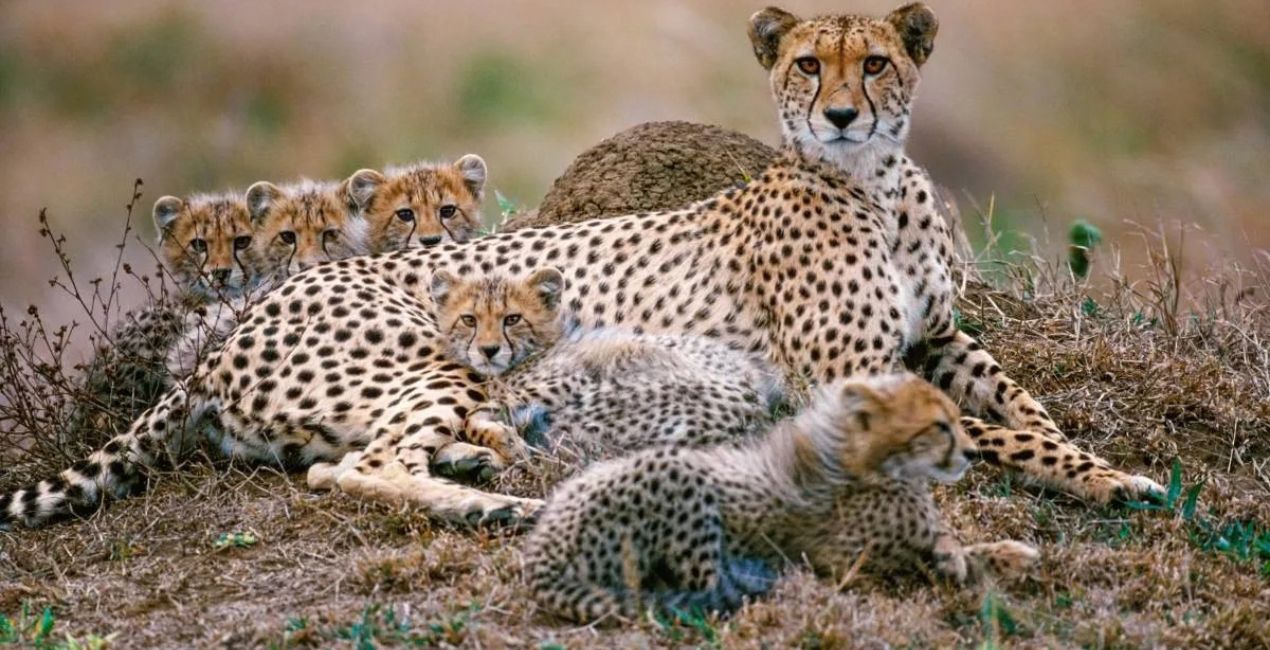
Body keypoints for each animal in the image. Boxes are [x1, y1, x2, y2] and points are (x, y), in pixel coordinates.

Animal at [524, 372, 1039, 623]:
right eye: (938, 426)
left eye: (956, 419)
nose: (971, 452)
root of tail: (543, 547)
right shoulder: (851, 562)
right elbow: (939, 559)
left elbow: (960, 546)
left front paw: (1010, 553)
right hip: (678, 477)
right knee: (702, 586)